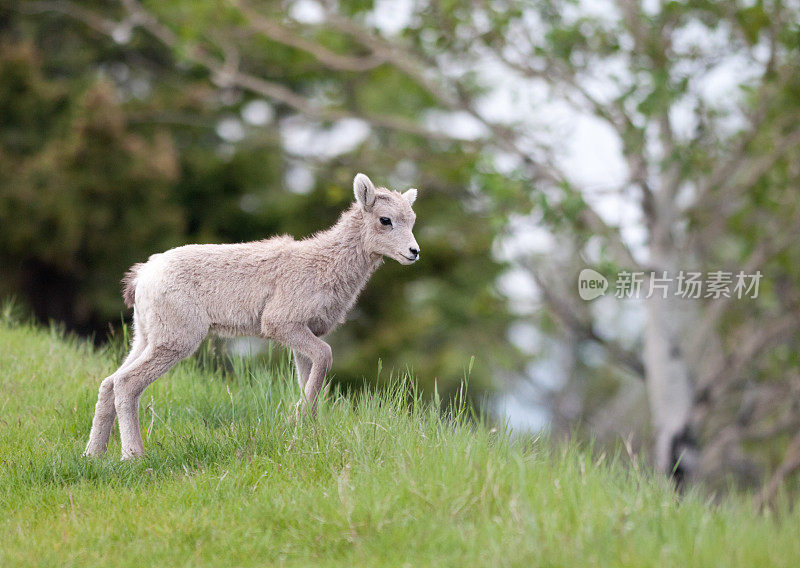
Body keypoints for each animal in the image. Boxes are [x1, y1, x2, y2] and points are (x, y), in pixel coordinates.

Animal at [86, 173, 422, 458]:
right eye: (385, 220)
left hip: (145, 338)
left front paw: (309, 433)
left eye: (412, 220)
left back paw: (94, 455)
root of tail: (142, 275)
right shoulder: (282, 324)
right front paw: (294, 422)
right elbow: (325, 358)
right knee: (126, 383)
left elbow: (311, 376)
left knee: (108, 383)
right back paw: (133, 456)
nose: (414, 252)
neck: (323, 264)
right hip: (175, 340)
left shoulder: (304, 335)